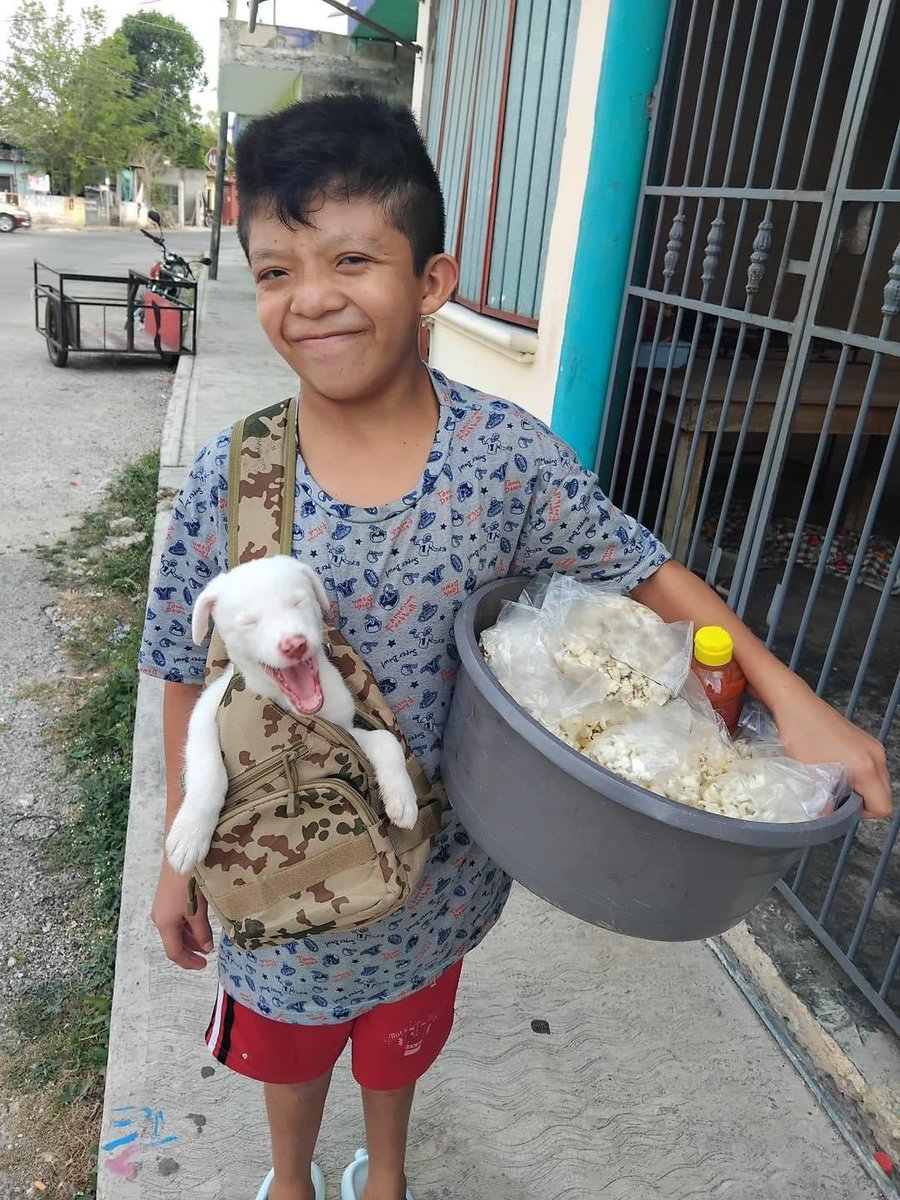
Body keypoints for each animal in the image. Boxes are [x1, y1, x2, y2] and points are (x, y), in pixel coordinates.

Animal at [168, 552, 422, 873]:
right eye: (249, 622)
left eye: (298, 602)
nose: (294, 644)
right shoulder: (204, 710)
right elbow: (208, 770)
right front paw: (190, 833)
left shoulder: (344, 729)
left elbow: (387, 741)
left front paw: (402, 797)